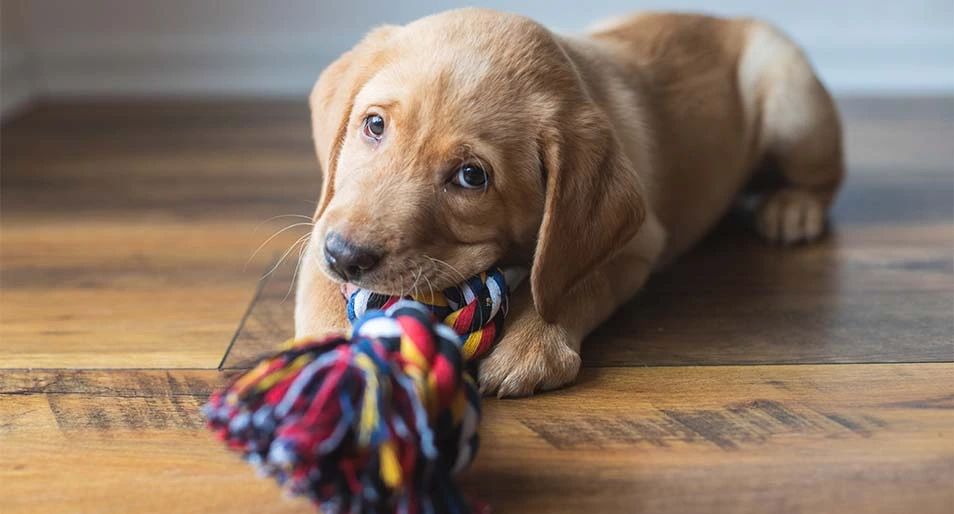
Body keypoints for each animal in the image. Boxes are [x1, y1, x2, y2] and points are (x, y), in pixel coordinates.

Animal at [292, 8, 840, 396]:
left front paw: (532, 344)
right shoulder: (326, 219)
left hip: (792, 103)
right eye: (374, 125)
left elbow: (569, 282)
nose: (346, 256)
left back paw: (793, 208)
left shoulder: (637, 245)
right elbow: (320, 287)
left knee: (824, 177)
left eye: (472, 176)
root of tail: (732, 21)